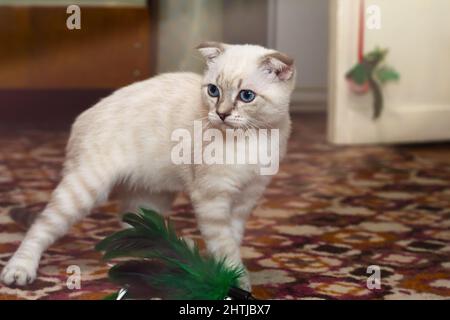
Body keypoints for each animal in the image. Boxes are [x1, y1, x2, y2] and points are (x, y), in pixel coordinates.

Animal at [1, 42, 296, 290]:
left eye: (246, 96)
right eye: (214, 91)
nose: (221, 114)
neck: (252, 138)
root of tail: (82, 116)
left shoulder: (245, 201)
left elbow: (232, 241)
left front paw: (231, 279)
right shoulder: (213, 199)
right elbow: (225, 247)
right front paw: (234, 284)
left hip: (152, 197)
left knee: (130, 224)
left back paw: (150, 260)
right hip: (86, 190)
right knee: (41, 226)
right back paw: (19, 270)